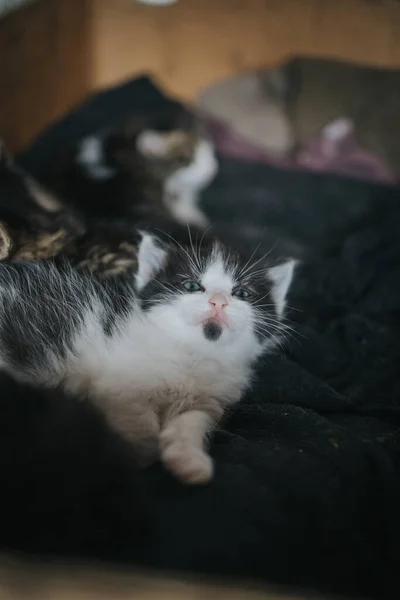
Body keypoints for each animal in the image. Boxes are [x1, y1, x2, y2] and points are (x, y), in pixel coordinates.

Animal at [0, 233, 296, 482]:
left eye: (242, 293)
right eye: (192, 285)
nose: (218, 302)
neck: (193, 354)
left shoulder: (208, 401)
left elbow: (192, 421)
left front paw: (189, 461)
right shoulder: (119, 384)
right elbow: (139, 419)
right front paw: (133, 455)